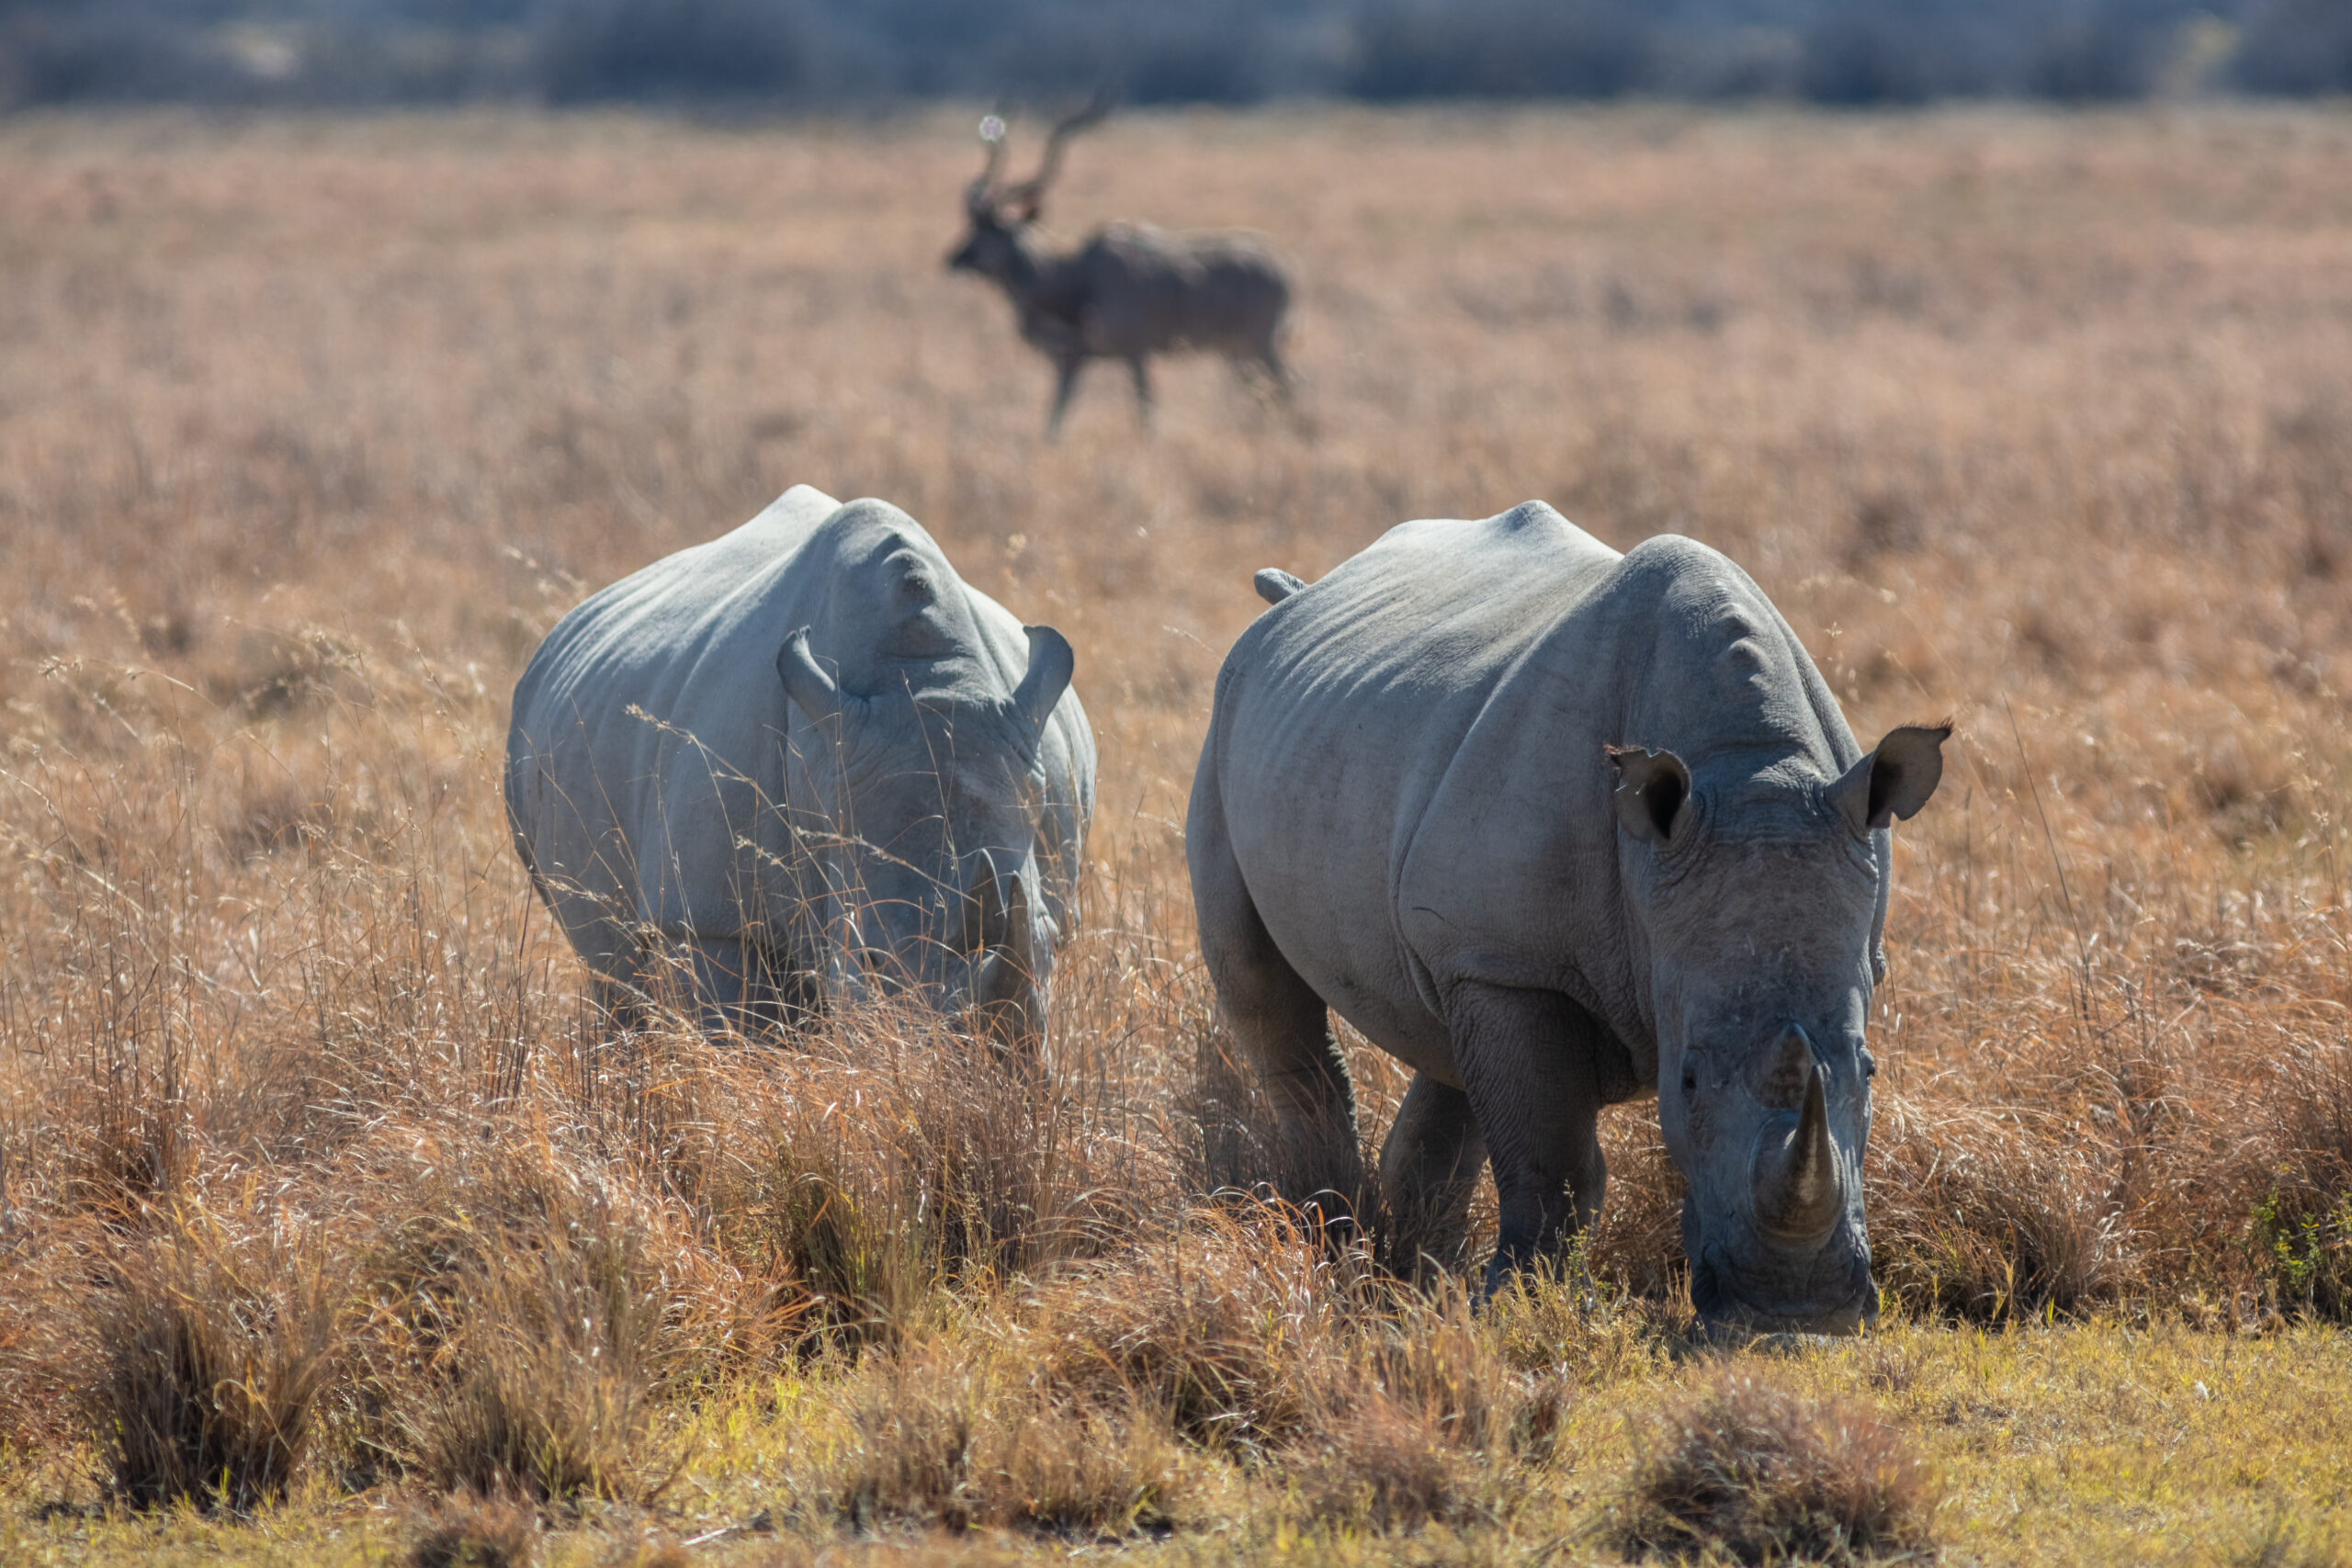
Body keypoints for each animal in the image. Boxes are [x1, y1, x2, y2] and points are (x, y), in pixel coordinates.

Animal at [505, 485, 1094, 1051]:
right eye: (870, 958)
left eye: (1048, 944)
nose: (999, 1068)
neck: (923, 673)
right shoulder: (711, 917)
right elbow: (739, 1034)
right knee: (614, 974)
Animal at [1187, 502, 1946, 1334]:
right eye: (1685, 1077)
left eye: (1869, 1069)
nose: (1795, 1311)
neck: (1753, 764)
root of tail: (1295, 597)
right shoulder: (1517, 963)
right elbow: (1552, 1154)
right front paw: (1525, 1306)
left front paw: (1493, 1298)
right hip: (1228, 721)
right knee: (1264, 988)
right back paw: (1336, 1241)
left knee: (1445, 1039)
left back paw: (1419, 1273)